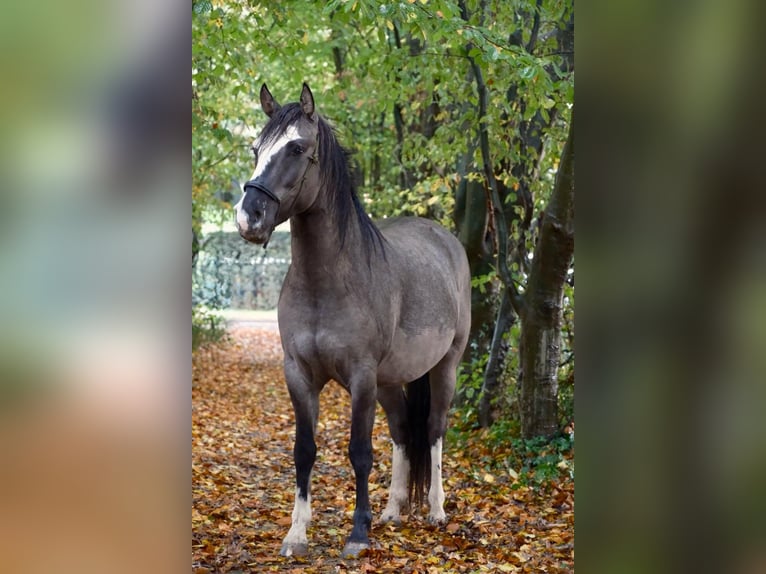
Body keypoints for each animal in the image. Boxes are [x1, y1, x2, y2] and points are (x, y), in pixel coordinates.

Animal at [234, 83, 471, 558]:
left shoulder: (361, 377)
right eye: (256, 148)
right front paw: (296, 534)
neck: (326, 283)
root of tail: (445, 239)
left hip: (444, 367)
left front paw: (358, 533)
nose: (248, 217)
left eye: (297, 148)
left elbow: (359, 451)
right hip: (390, 382)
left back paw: (436, 511)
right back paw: (393, 510)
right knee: (402, 432)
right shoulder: (299, 375)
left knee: (434, 429)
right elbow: (304, 450)